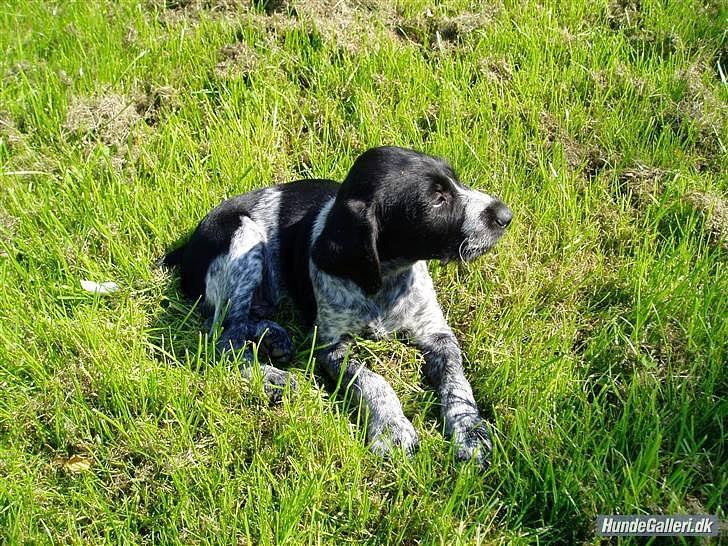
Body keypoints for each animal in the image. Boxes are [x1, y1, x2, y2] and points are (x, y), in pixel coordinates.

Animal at [163, 144, 512, 464]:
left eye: (455, 180)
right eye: (437, 199)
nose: (505, 215)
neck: (386, 280)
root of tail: (187, 247)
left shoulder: (436, 333)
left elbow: (457, 382)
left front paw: (470, 430)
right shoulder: (330, 346)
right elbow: (372, 381)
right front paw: (391, 428)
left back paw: (274, 337)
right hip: (244, 237)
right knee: (224, 340)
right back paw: (275, 377)